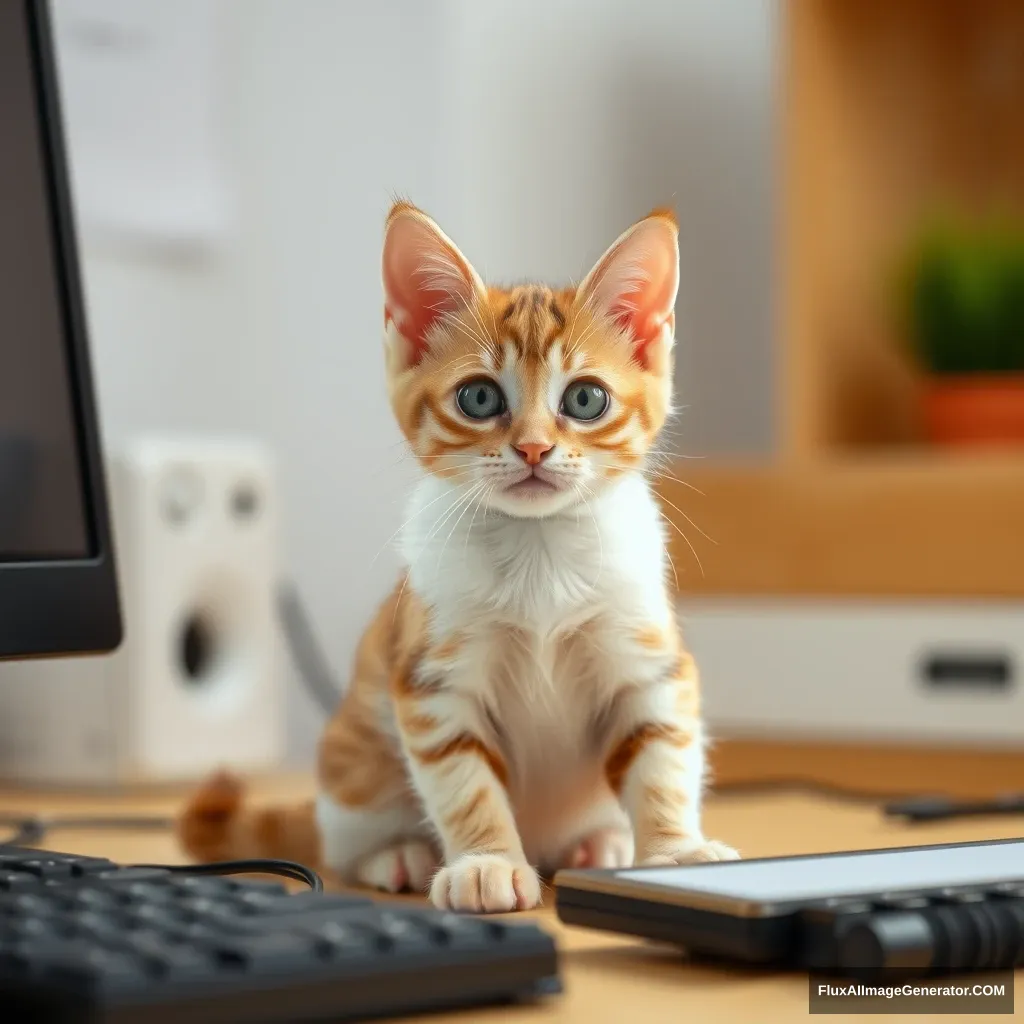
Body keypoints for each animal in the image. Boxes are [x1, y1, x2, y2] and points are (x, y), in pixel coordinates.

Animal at [176, 197, 737, 913]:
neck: (539, 548)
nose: (533, 448)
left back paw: (599, 845)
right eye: (480, 397)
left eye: (585, 399)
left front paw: (674, 852)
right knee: (345, 845)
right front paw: (486, 863)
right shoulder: (431, 680)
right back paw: (397, 856)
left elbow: (664, 762)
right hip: (352, 764)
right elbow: (465, 782)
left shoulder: (649, 664)